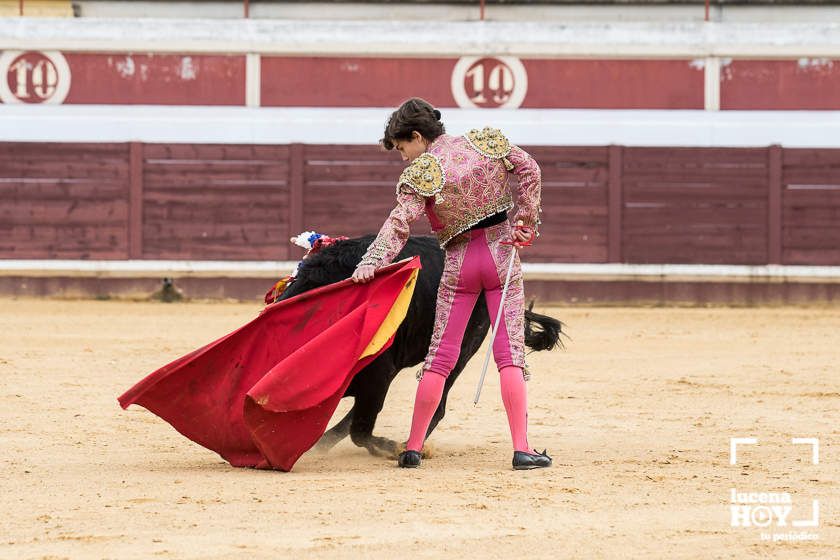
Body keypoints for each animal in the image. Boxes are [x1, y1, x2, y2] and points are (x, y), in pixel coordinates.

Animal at [278, 234, 564, 458]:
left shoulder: (378, 376)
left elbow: (360, 430)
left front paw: (392, 447)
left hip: (462, 349)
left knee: (438, 404)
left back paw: (409, 446)